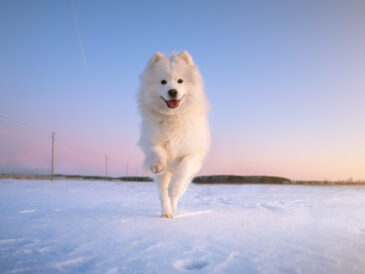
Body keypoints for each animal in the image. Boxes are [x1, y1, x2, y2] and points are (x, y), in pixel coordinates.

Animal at [137, 50, 210, 218]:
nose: (172, 91)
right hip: (162, 177)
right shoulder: (153, 142)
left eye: (180, 81)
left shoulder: (193, 152)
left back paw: (174, 204)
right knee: (163, 195)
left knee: (175, 194)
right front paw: (157, 165)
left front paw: (174, 188)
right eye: (163, 82)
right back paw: (167, 213)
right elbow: (157, 152)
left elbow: (184, 169)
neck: (173, 117)